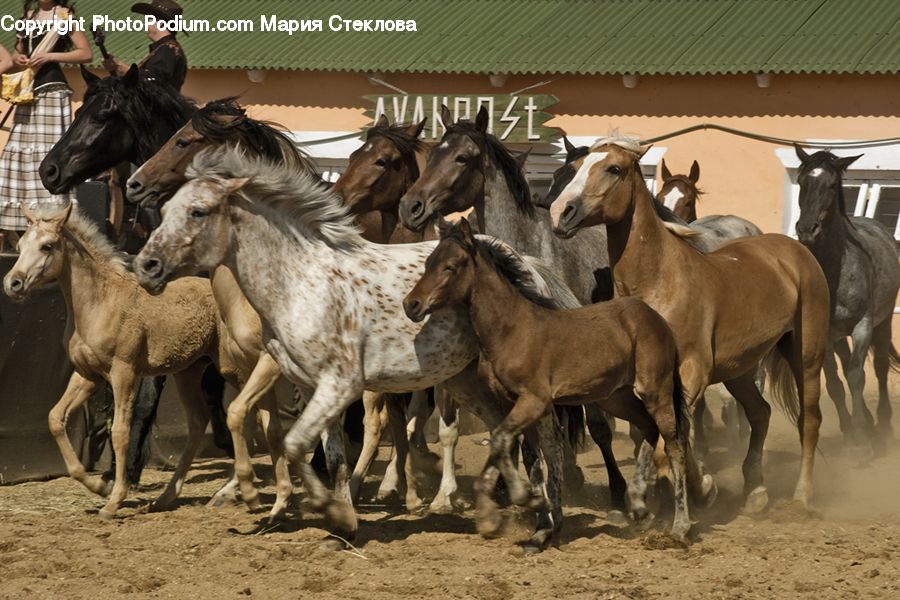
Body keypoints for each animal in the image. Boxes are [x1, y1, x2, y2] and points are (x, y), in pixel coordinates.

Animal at [2, 202, 243, 519]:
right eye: (19, 246)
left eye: (47, 246)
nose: (13, 283)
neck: (100, 302)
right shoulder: (88, 375)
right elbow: (55, 418)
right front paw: (99, 486)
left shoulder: (123, 372)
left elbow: (119, 432)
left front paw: (114, 499)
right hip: (189, 372)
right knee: (199, 421)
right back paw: (166, 497)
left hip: (230, 366)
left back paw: (231, 491)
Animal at [132, 145, 582, 553]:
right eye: (166, 209)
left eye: (198, 212)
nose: (146, 266)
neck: (300, 282)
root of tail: (524, 263)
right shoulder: (312, 388)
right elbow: (329, 456)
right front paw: (343, 527)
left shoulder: (339, 385)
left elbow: (294, 444)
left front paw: (320, 508)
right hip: (463, 378)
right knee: (506, 430)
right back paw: (510, 507)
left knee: (544, 434)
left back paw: (545, 521)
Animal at [404, 218, 706, 542]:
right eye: (428, 263)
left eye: (450, 266)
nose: (411, 304)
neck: (512, 328)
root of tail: (656, 318)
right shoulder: (512, 403)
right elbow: (527, 453)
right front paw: (530, 519)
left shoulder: (535, 400)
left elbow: (505, 441)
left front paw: (529, 501)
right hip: (617, 397)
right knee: (649, 428)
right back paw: (638, 506)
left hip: (654, 390)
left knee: (673, 443)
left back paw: (679, 526)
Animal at [549, 138, 831, 512]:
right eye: (576, 166)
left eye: (614, 168)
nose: (560, 212)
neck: (660, 281)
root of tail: (794, 251)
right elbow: (664, 438)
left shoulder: (692, 374)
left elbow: (669, 445)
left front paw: (700, 489)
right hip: (739, 369)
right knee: (760, 413)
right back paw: (755, 492)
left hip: (806, 356)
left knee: (809, 420)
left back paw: (801, 496)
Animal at [794, 145, 899, 457]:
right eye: (802, 181)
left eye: (831, 185)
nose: (806, 229)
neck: (835, 270)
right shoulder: (824, 333)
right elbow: (834, 383)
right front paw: (852, 434)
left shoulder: (863, 327)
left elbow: (856, 377)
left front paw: (862, 441)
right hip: (839, 335)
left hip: (883, 322)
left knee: (878, 368)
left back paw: (882, 424)